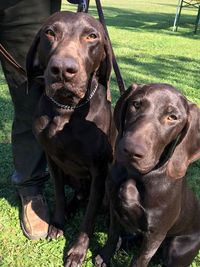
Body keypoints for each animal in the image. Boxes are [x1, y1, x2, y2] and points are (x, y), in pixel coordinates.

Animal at [25, 11, 115, 267]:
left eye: (92, 36)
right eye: (50, 32)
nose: (63, 70)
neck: (66, 110)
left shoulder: (99, 171)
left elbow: (89, 217)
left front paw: (77, 250)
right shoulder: (53, 161)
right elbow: (58, 195)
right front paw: (58, 223)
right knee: (77, 195)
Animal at [95, 84, 200, 267]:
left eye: (172, 117)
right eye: (136, 104)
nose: (131, 150)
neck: (136, 176)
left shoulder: (155, 234)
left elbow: (139, 260)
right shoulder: (114, 208)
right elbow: (113, 235)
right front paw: (105, 256)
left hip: (177, 250)